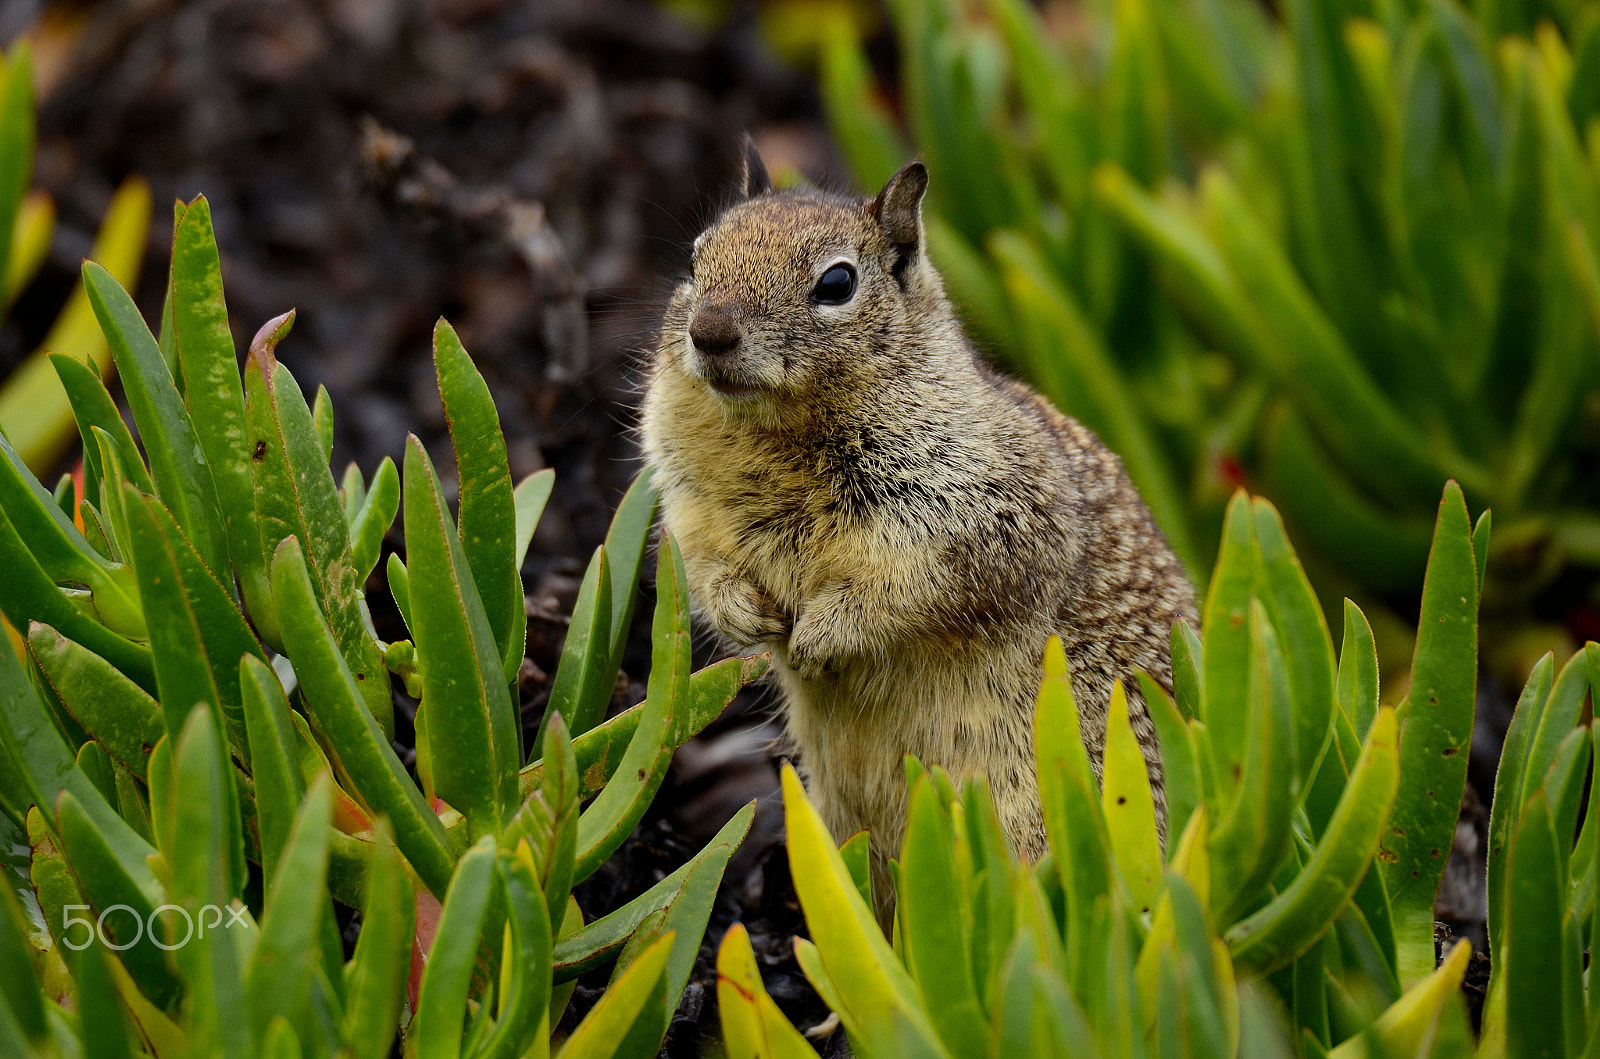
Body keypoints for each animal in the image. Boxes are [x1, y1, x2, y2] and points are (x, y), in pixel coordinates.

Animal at [643, 143, 1196, 902]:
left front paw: (820, 635)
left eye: (837, 282)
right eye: (696, 261)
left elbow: (909, 593)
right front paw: (746, 616)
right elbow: (702, 570)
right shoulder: (691, 508)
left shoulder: (976, 521)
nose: (709, 333)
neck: (776, 438)